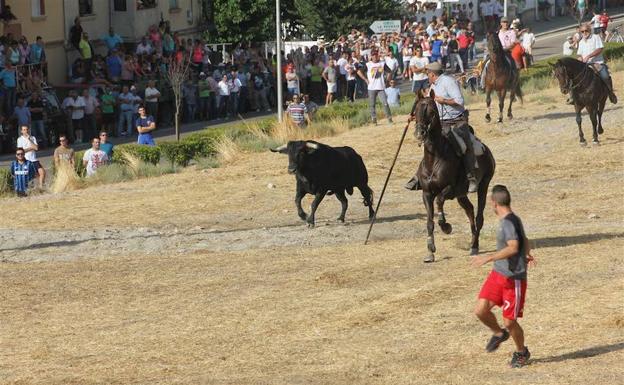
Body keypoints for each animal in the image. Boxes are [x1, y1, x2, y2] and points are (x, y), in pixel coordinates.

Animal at [412, 94, 494, 260]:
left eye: (431, 111)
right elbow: (429, 221)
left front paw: (445, 226)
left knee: (479, 216)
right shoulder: (426, 193)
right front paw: (430, 250)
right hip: (461, 195)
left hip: (483, 185)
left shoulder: (450, 189)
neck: (434, 159)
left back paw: (474, 246)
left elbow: (439, 200)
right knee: (470, 210)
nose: (420, 133)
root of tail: (486, 150)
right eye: (416, 110)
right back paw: (472, 242)